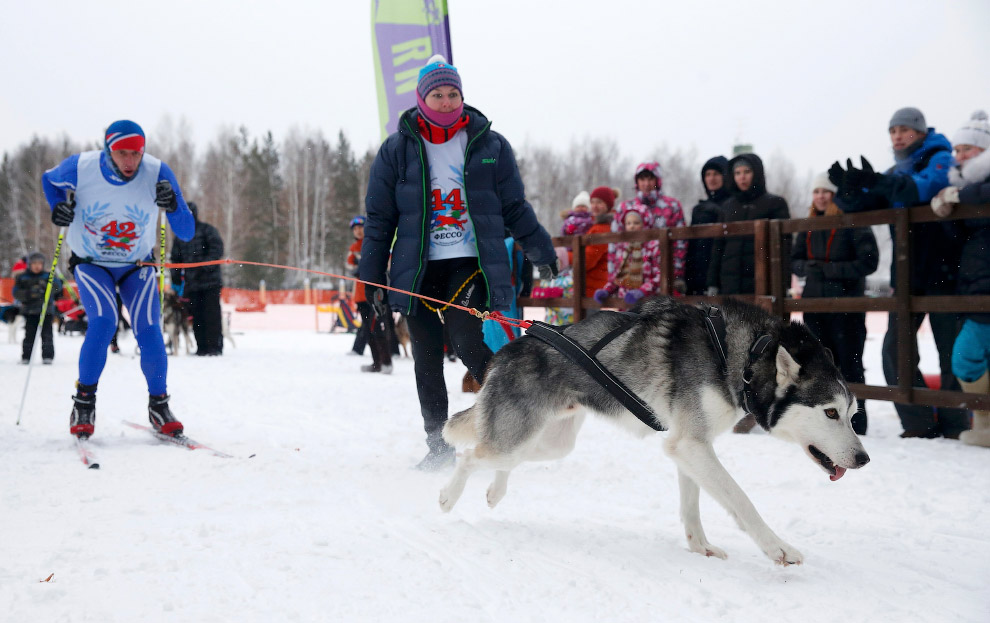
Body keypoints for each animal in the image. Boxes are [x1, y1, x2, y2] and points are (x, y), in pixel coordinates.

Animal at [438, 298, 872, 564]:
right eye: (830, 412)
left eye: (853, 414)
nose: (865, 458)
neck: (745, 355)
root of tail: (504, 353)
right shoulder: (692, 444)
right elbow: (741, 500)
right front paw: (778, 548)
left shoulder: (689, 446)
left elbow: (692, 505)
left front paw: (701, 547)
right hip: (518, 437)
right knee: (470, 455)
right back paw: (447, 496)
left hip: (549, 443)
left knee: (501, 458)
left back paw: (494, 492)